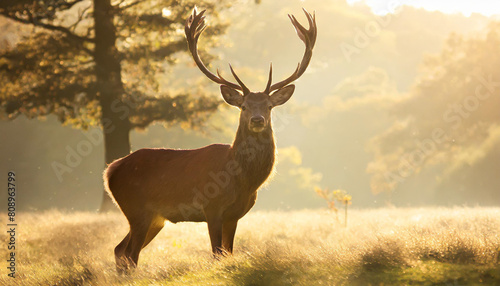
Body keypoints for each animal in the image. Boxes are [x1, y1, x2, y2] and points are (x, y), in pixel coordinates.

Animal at [104, 6, 316, 270]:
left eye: (268, 106)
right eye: (244, 106)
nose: (257, 120)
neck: (242, 180)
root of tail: (110, 170)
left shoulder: (234, 216)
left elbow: (228, 253)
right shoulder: (211, 208)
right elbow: (216, 254)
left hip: (155, 218)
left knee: (119, 250)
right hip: (136, 210)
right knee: (130, 255)